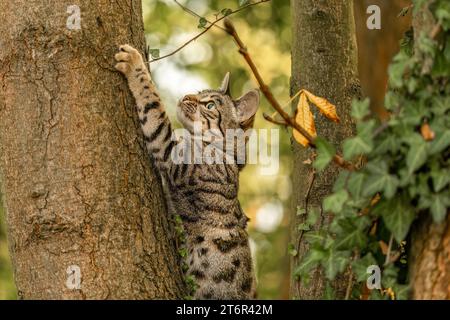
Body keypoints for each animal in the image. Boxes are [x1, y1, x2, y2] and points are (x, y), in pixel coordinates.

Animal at [114, 44, 258, 300]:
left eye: (210, 105)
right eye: (198, 93)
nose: (186, 96)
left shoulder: (171, 153)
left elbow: (154, 106)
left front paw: (134, 63)